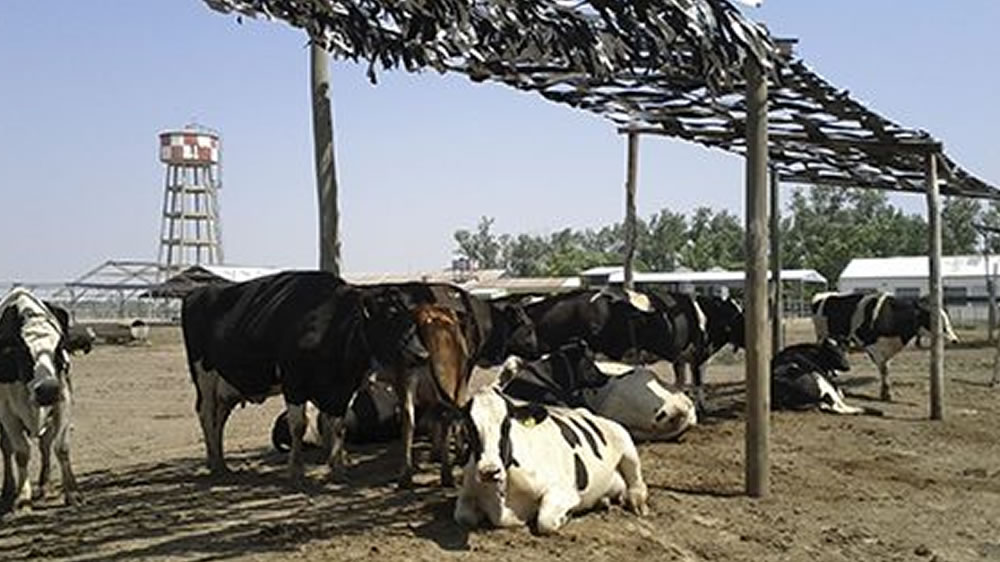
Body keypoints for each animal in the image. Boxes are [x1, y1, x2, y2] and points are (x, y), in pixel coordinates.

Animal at [0, 286, 80, 510]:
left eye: (58, 349)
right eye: (23, 353)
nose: (47, 390)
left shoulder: (64, 401)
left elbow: (61, 448)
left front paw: (72, 492)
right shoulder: (6, 412)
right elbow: (21, 452)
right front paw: (22, 496)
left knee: (45, 445)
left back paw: (45, 484)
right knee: (7, 450)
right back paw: (8, 489)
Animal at [456, 382, 648, 532]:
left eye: (507, 424)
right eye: (470, 426)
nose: (489, 471)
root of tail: (585, 412)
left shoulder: (564, 490)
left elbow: (545, 521)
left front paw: (567, 516)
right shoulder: (467, 494)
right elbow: (463, 516)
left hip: (626, 444)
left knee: (637, 485)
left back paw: (637, 504)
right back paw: (603, 501)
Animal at [812, 290, 960, 400]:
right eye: (934, 320)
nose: (955, 340)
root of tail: (823, 295)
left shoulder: (888, 348)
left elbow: (887, 368)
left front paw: (886, 392)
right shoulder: (873, 348)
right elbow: (884, 369)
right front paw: (885, 394)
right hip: (822, 336)